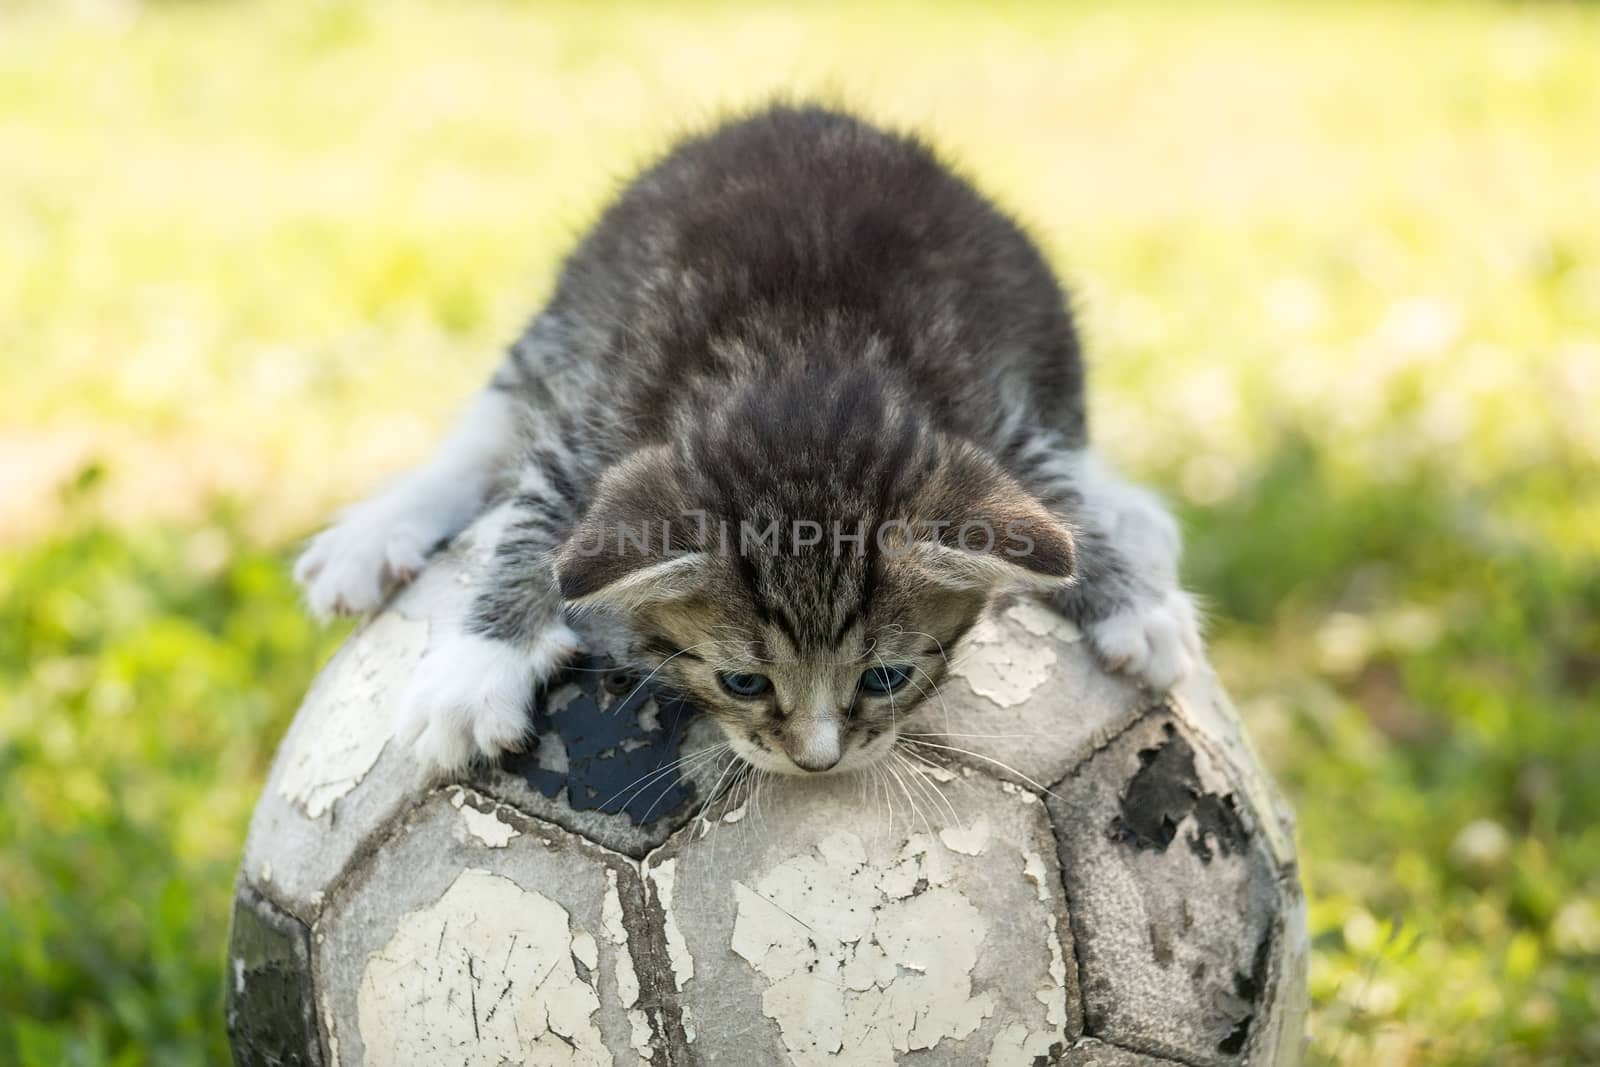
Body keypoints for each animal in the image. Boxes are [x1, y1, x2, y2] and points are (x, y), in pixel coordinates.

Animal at [297, 103, 1203, 780]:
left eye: (884, 674)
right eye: (741, 679)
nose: (816, 759)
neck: (802, 363)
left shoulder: (985, 402)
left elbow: (1051, 490)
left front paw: (1132, 598)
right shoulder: (600, 404)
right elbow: (539, 508)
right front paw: (478, 662)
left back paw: (1133, 514)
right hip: (574, 309)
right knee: (492, 427)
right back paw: (376, 531)